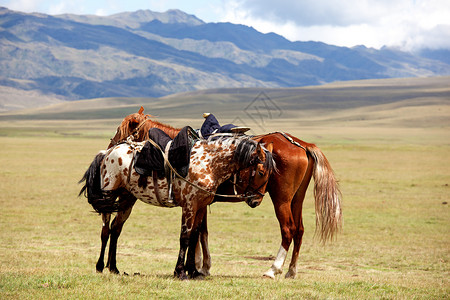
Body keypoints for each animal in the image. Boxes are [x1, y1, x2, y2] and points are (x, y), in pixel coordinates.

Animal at [80, 135, 274, 280]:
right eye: (261, 172)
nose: (256, 201)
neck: (209, 163)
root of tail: (107, 152)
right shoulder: (189, 206)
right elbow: (185, 237)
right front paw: (180, 272)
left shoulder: (200, 206)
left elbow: (195, 236)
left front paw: (194, 271)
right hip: (108, 196)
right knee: (105, 231)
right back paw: (100, 266)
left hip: (127, 199)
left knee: (116, 229)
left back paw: (114, 268)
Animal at [106, 106, 342, 278]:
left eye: (121, 129)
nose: (111, 146)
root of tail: (303, 144)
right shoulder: (200, 201)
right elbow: (201, 232)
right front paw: (201, 266)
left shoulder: (197, 201)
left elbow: (196, 233)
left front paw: (197, 267)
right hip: (297, 198)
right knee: (300, 230)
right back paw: (291, 271)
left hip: (281, 199)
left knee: (288, 229)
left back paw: (273, 270)